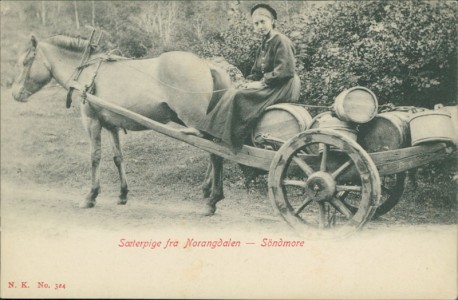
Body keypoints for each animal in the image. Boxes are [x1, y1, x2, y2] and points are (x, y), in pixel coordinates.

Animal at [12, 34, 231, 214]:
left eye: (26, 61)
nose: (15, 94)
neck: (88, 73)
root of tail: (207, 65)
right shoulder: (111, 125)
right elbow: (118, 157)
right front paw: (123, 194)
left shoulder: (91, 121)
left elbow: (95, 157)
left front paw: (91, 196)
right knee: (215, 153)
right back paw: (208, 191)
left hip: (195, 122)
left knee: (215, 155)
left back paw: (212, 200)